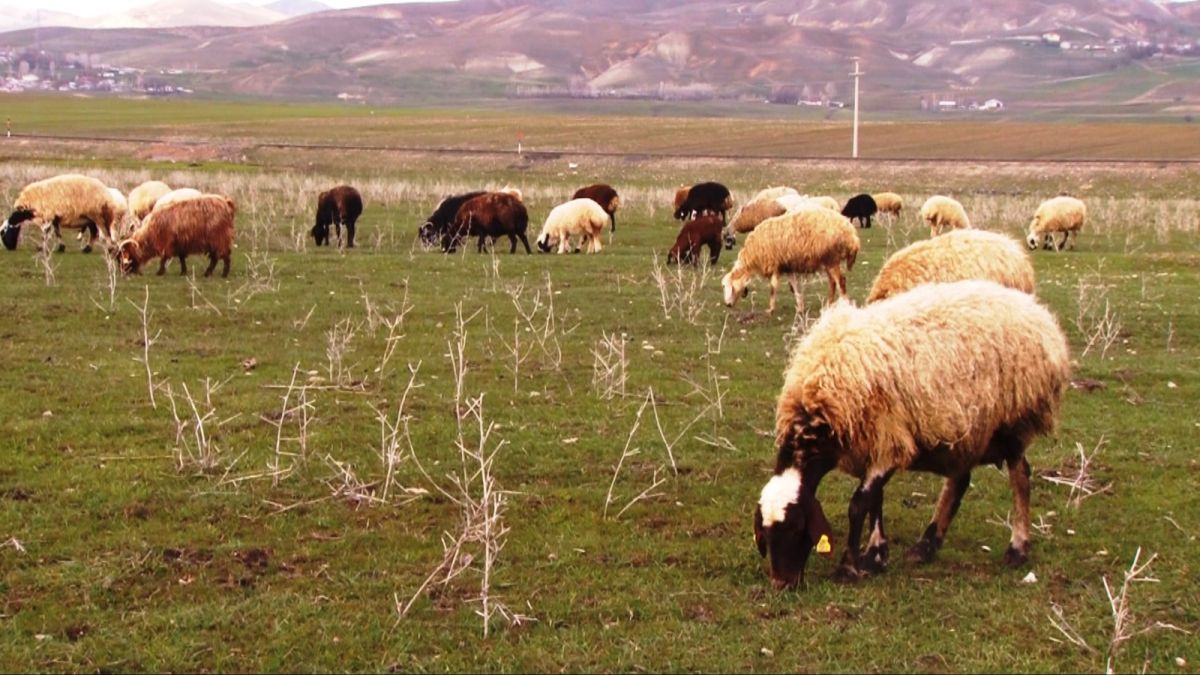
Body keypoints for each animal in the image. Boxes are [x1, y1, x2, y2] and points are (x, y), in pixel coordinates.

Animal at [715, 205, 859, 312]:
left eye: (725, 286)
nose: (727, 305)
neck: (751, 258)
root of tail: (851, 233)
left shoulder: (775, 265)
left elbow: (773, 288)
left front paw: (770, 309)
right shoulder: (787, 266)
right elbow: (795, 287)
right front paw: (800, 307)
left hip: (832, 259)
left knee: (841, 281)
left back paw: (844, 304)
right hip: (827, 261)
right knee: (832, 282)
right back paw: (828, 306)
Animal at [753, 276, 1075, 586]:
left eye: (797, 528)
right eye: (765, 536)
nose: (782, 583)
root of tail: (1036, 311)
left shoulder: (888, 440)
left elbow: (858, 504)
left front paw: (849, 567)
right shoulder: (875, 443)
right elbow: (876, 499)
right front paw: (875, 554)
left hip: (1012, 420)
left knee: (1020, 476)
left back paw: (1018, 548)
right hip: (965, 428)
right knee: (959, 480)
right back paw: (926, 545)